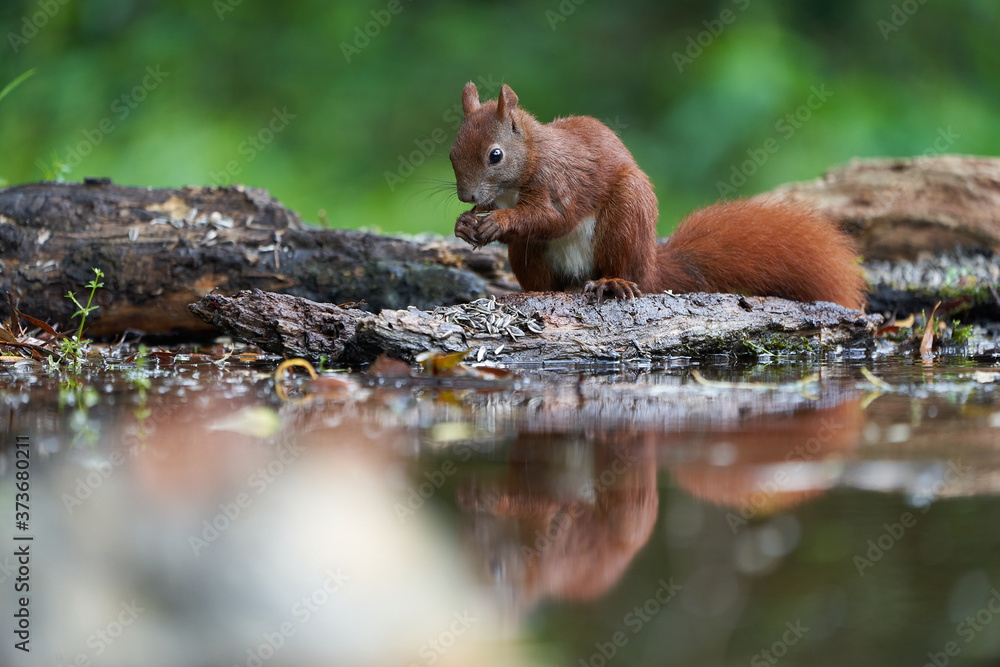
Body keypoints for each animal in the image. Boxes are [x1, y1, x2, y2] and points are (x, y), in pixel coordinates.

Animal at [450, 82, 866, 310]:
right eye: (452, 154)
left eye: (495, 155)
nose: (466, 195)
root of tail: (651, 266)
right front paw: (466, 223)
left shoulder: (560, 181)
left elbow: (553, 217)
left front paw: (498, 221)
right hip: (532, 255)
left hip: (626, 216)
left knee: (622, 268)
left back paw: (612, 283)